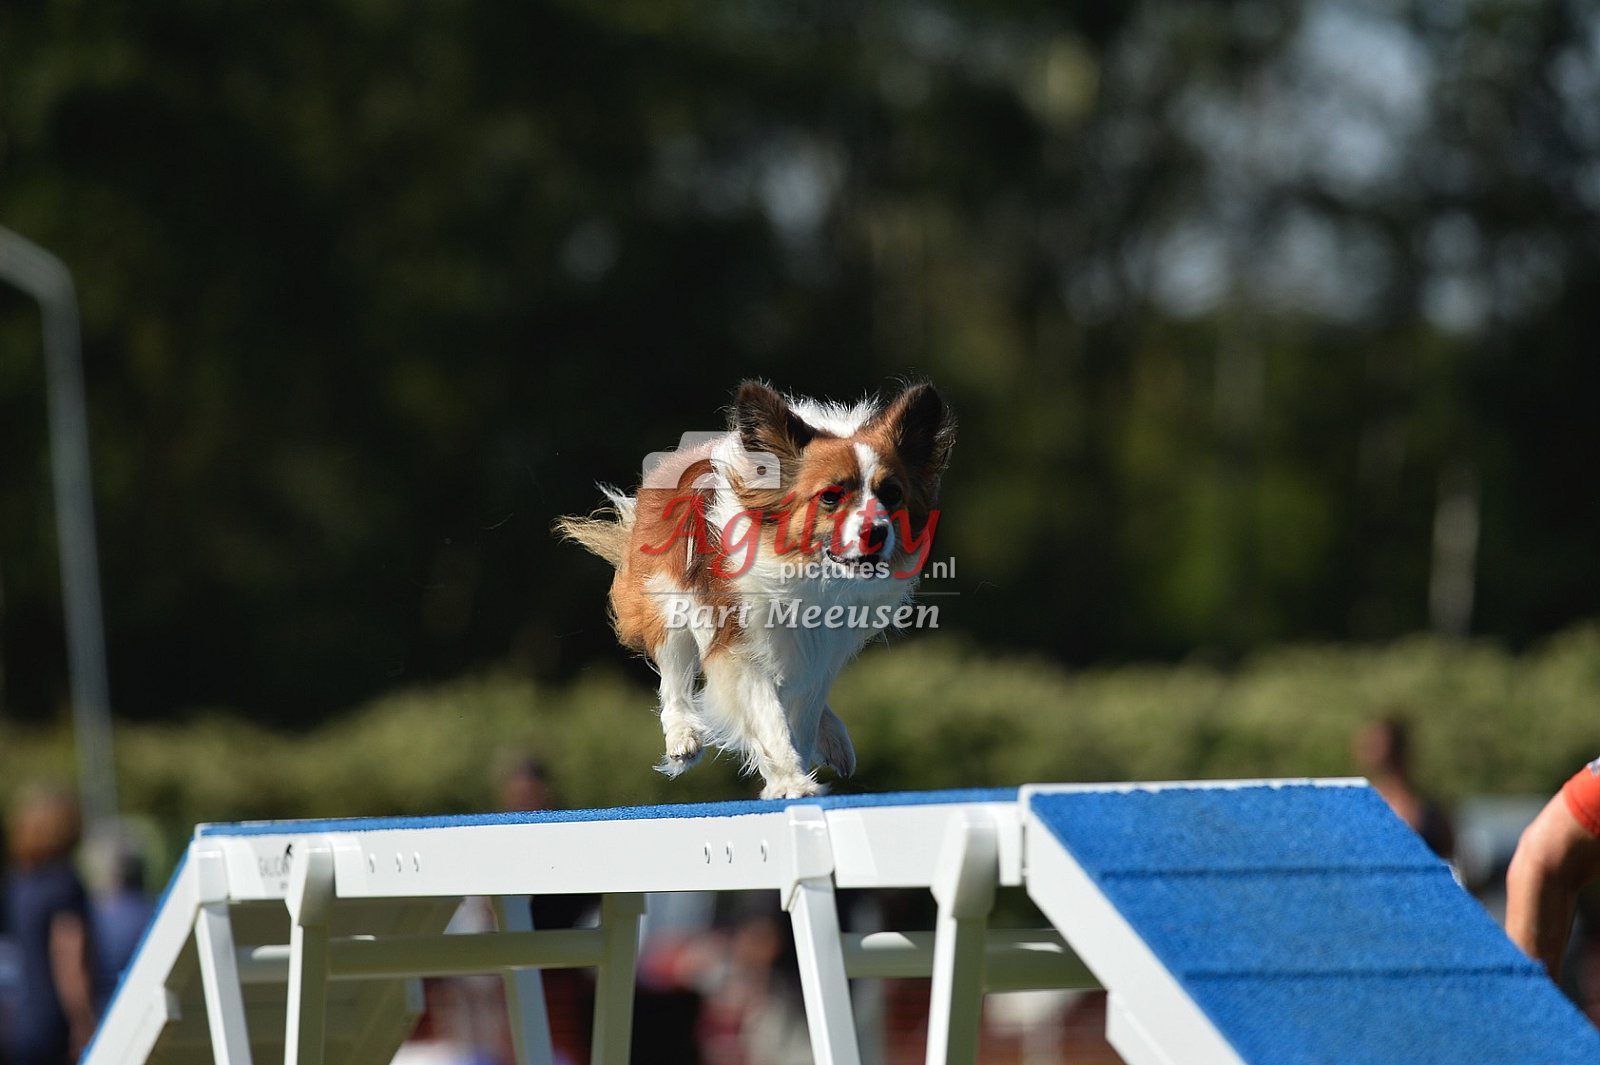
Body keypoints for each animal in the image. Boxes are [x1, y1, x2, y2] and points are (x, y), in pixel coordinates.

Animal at [556, 380, 954, 798]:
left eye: (891, 495)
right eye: (830, 496)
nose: (876, 531)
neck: (810, 573)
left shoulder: (821, 649)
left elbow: (803, 714)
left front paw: (799, 763)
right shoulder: (739, 645)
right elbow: (767, 717)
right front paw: (791, 781)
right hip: (668, 602)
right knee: (674, 678)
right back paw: (683, 736)